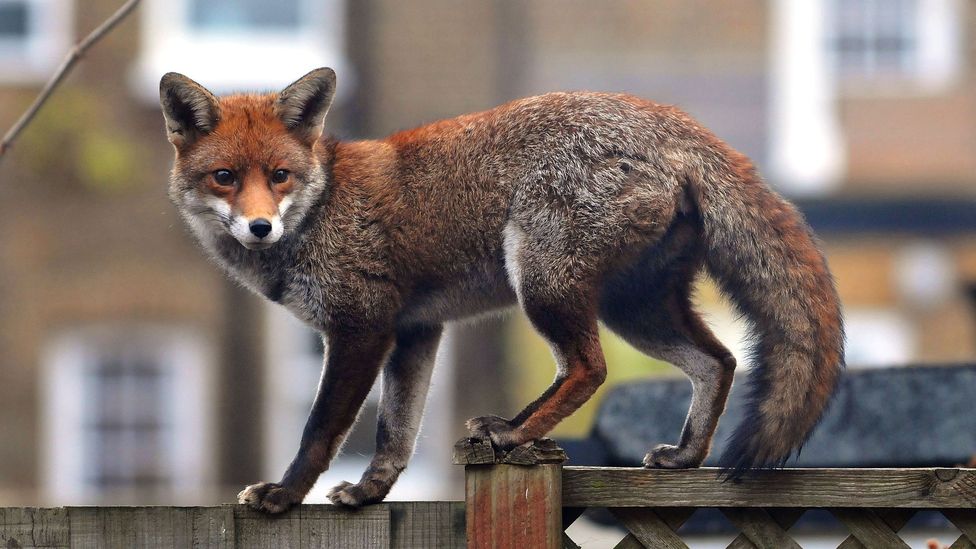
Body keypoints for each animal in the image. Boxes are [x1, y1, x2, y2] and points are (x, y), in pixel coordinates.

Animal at [159, 67, 844, 513]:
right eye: (225, 178)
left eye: (279, 176)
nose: (260, 226)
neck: (322, 209)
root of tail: (672, 122)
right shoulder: (415, 330)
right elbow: (394, 434)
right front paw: (371, 492)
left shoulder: (362, 326)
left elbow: (321, 429)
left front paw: (284, 496)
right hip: (633, 308)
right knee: (718, 361)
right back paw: (683, 455)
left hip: (544, 282)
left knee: (589, 369)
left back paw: (515, 436)